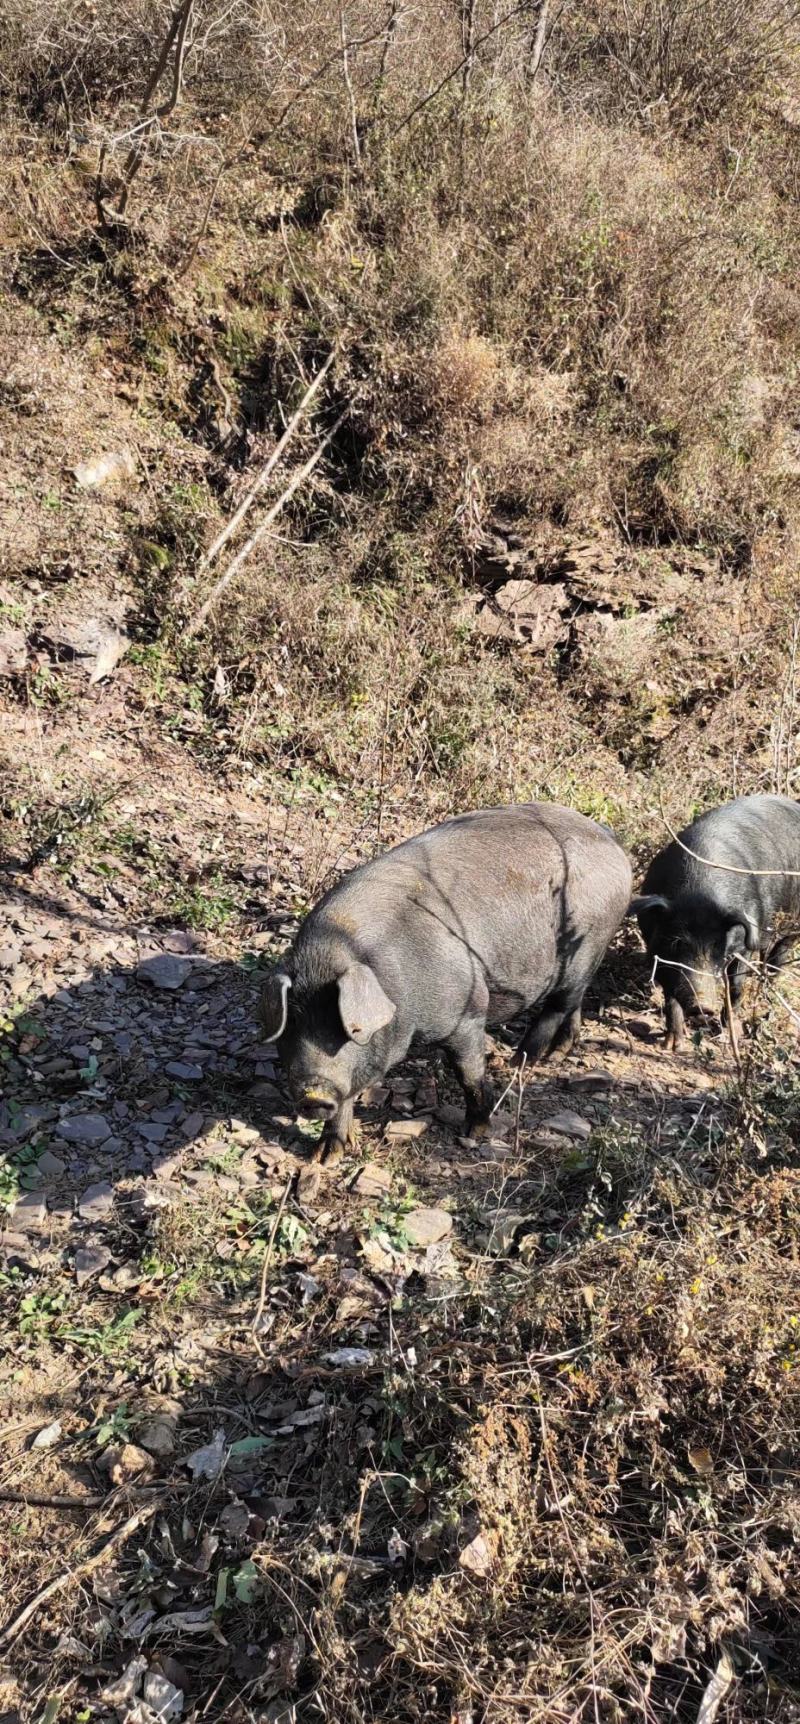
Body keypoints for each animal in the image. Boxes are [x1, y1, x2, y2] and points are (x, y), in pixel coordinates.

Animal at [258, 803, 631, 1158]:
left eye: (347, 1027)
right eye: (293, 1023)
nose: (312, 1095)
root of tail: (610, 839)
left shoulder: (468, 1013)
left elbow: (469, 1075)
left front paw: (473, 1133)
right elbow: (349, 1092)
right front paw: (325, 1157)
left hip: (586, 943)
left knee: (557, 1005)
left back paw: (519, 1062)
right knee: (573, 1001)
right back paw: (557, 1054)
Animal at [631, 793, 800, 1048]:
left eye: (718, 948)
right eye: (677, 943)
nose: (703, 1006)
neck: (698, 893)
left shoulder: (744, 945)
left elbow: (737, 985)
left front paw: (728, 1034)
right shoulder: (656, 946)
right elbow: (670, 991)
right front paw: (673, 1045)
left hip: (792, 926)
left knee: (777, 957)